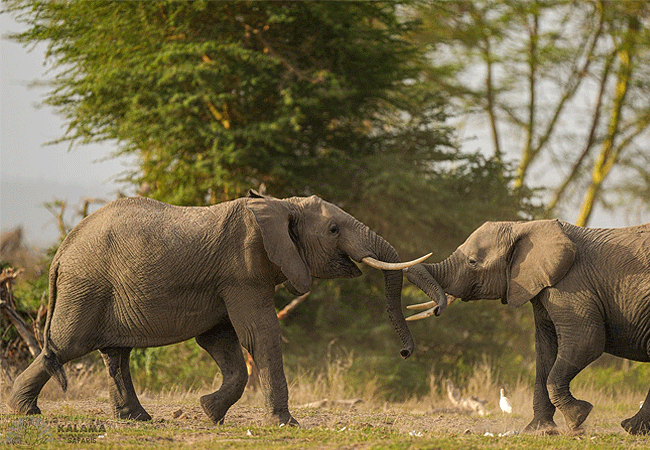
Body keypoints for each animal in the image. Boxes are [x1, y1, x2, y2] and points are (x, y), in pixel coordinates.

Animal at [7, 190, 438, 426]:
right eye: (333, 230)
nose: (405, 352)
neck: (281, 205)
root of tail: (61, 250)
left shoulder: (231, 279)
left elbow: (220, 340)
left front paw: (208, 412)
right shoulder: (243, 268)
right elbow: (259, 334)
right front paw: (286, 424)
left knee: (115, 354)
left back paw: (136, 419)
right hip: (86, 287)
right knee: (67, 346)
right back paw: (24, 411)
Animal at [405, 219, 650, 435]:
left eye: (472, 261)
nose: (438, 309)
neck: (523, 226)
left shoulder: (571, 286)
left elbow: (587, 341)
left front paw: (578, 418)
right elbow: (545, 351)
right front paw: (540, 430)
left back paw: (630, 429)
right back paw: (633, 429)